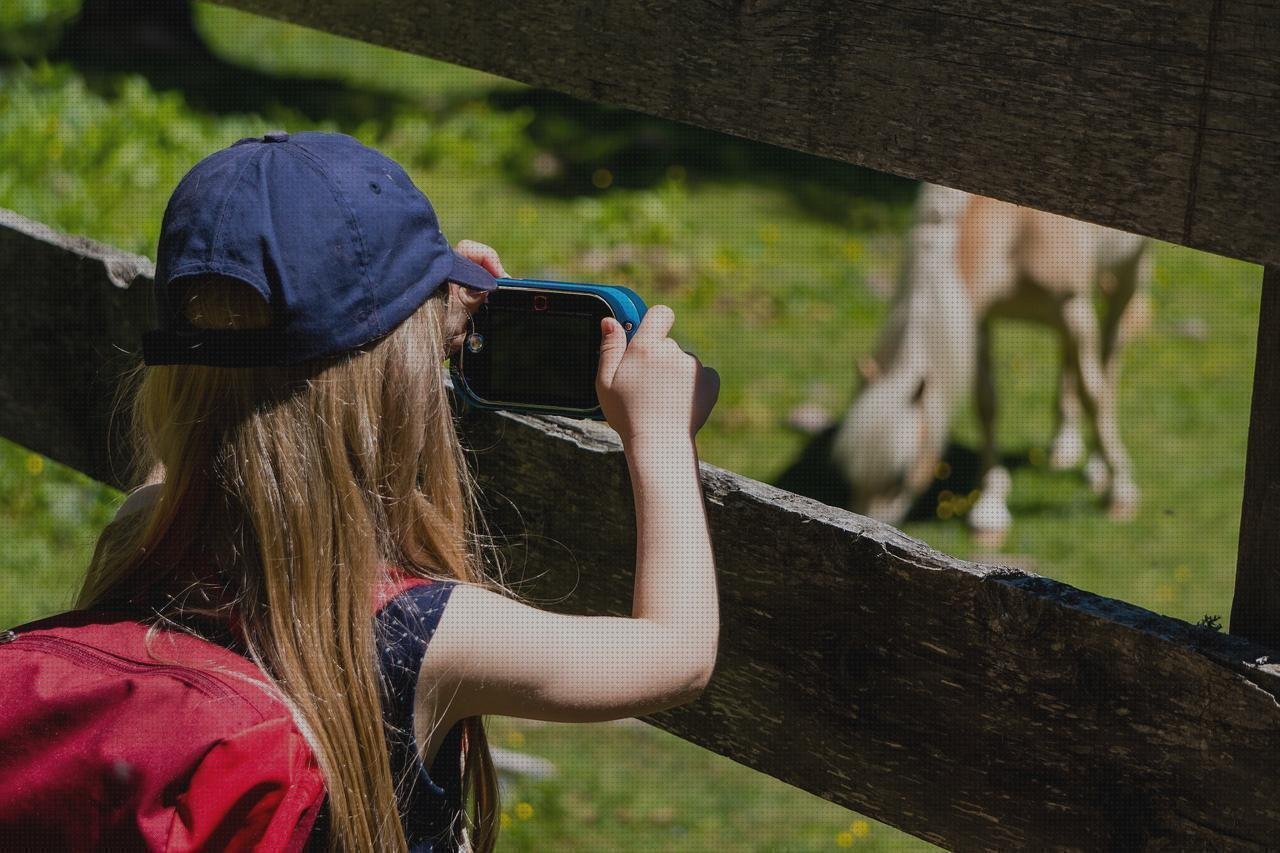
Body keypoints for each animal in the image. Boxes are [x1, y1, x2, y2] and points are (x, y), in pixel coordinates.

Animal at [834, 184, 1157, 545]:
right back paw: (1064, 445)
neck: (1018, 226)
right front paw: (990, 507)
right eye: (851, 473)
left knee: (1110, 348)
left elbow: (1094, 396)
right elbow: (987, 405)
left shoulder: (1073, 310)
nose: (866, 531)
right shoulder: (979, 319)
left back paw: (1098, 467)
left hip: (1129, 270)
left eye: (900, 476)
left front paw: (1120, 490)